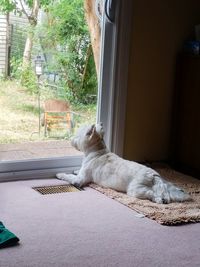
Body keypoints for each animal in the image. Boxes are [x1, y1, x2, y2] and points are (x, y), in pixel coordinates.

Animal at [56, 124, 191, 205]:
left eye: (77, 136)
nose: (70, 139)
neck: (97, 151)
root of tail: (153, 175)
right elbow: (76, 171)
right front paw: (75, 170)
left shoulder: (80, 180)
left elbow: (71, 177)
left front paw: (60, 174)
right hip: (159, 185)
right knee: (164, 193)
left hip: (135, 189)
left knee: (150, 193)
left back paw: (157, 199)